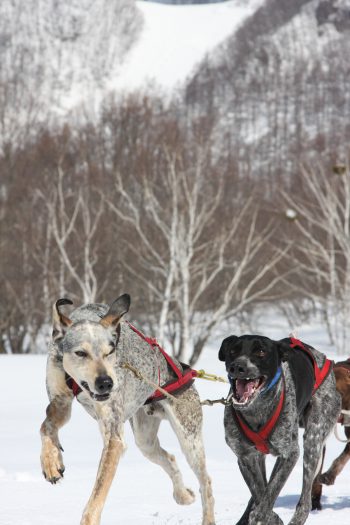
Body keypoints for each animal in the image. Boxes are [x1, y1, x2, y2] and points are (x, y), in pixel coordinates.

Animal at [39, 294, 215, 524]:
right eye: (80, 353)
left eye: (110, 351)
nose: (106, 383)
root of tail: (184, 370)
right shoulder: (60, 401)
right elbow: (46, 426)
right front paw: (51, 461)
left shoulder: (114, 438)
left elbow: (97, 495)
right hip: (145, 440)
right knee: (170, 458)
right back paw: (183, 495)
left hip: (189, 438)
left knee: (206, 481)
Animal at [217, 334, 340, 520]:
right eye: (233, 350)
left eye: (261, 351)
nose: (237, 366)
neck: (256, 410)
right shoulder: (246, 457)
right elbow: (260, 493)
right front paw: (269, 517)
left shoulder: (289, 454)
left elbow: (269, 494)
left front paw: (263, 516)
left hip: (313, 441)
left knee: (305, 503)